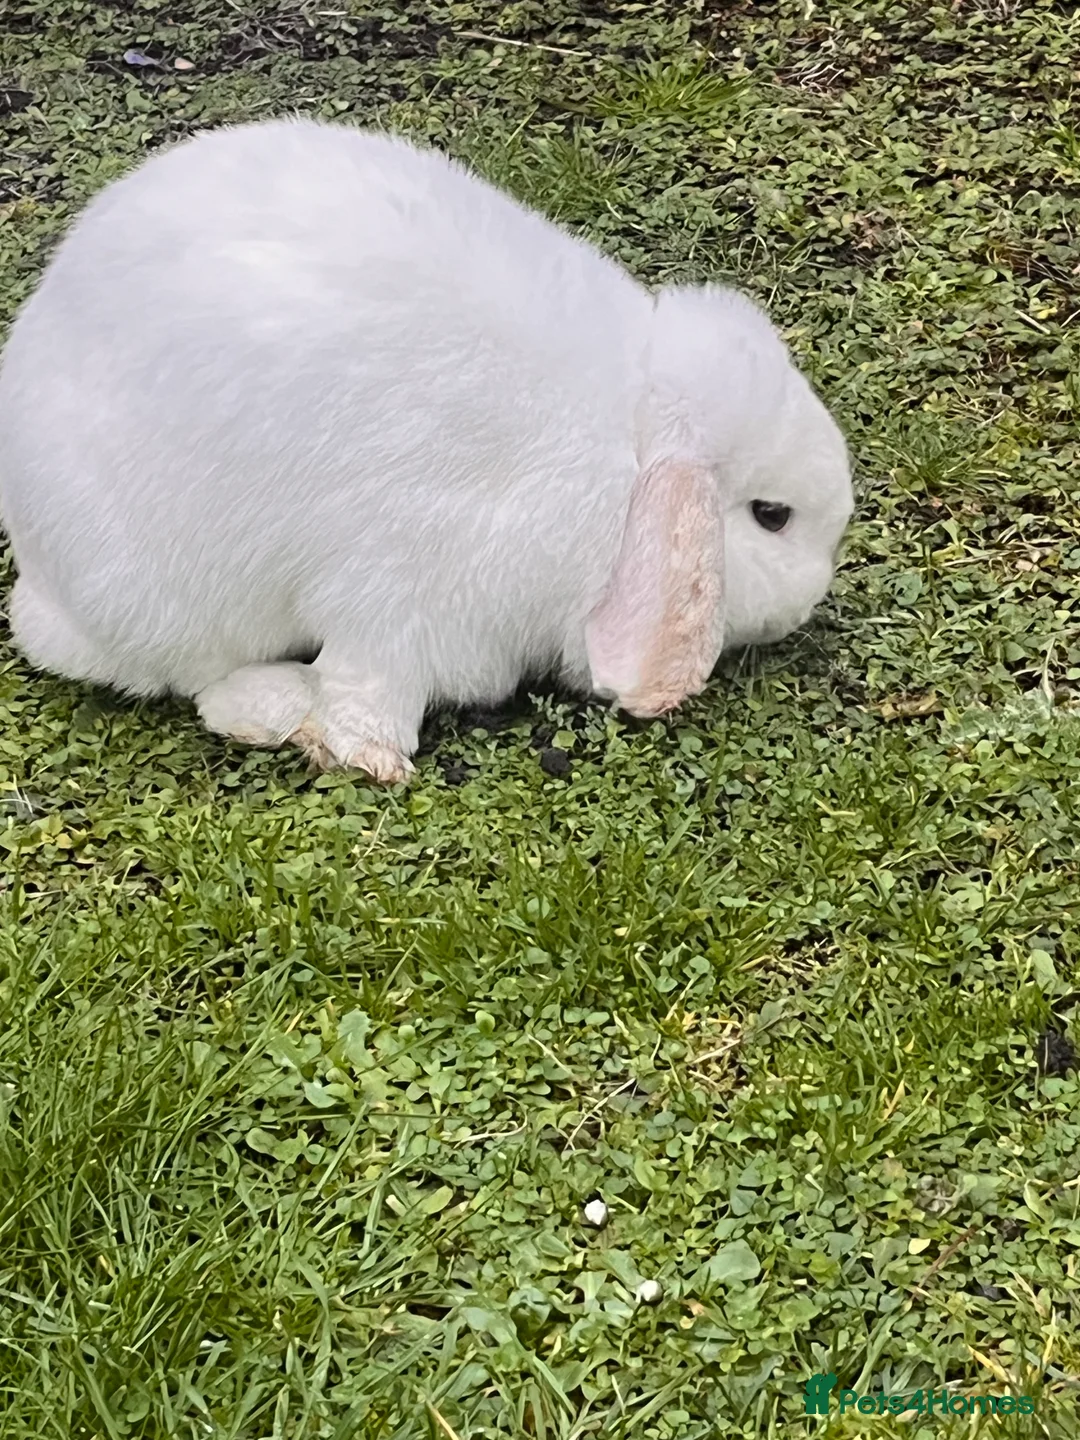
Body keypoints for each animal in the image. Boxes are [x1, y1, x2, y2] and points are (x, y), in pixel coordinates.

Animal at [0, 118, 853, 784]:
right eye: (772, 516)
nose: (811, 598)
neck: (625, 454)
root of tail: (42, 578)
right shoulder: (399, 587)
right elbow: (370, 683)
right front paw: (370, 755)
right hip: (172, 595)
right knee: (198, 679)